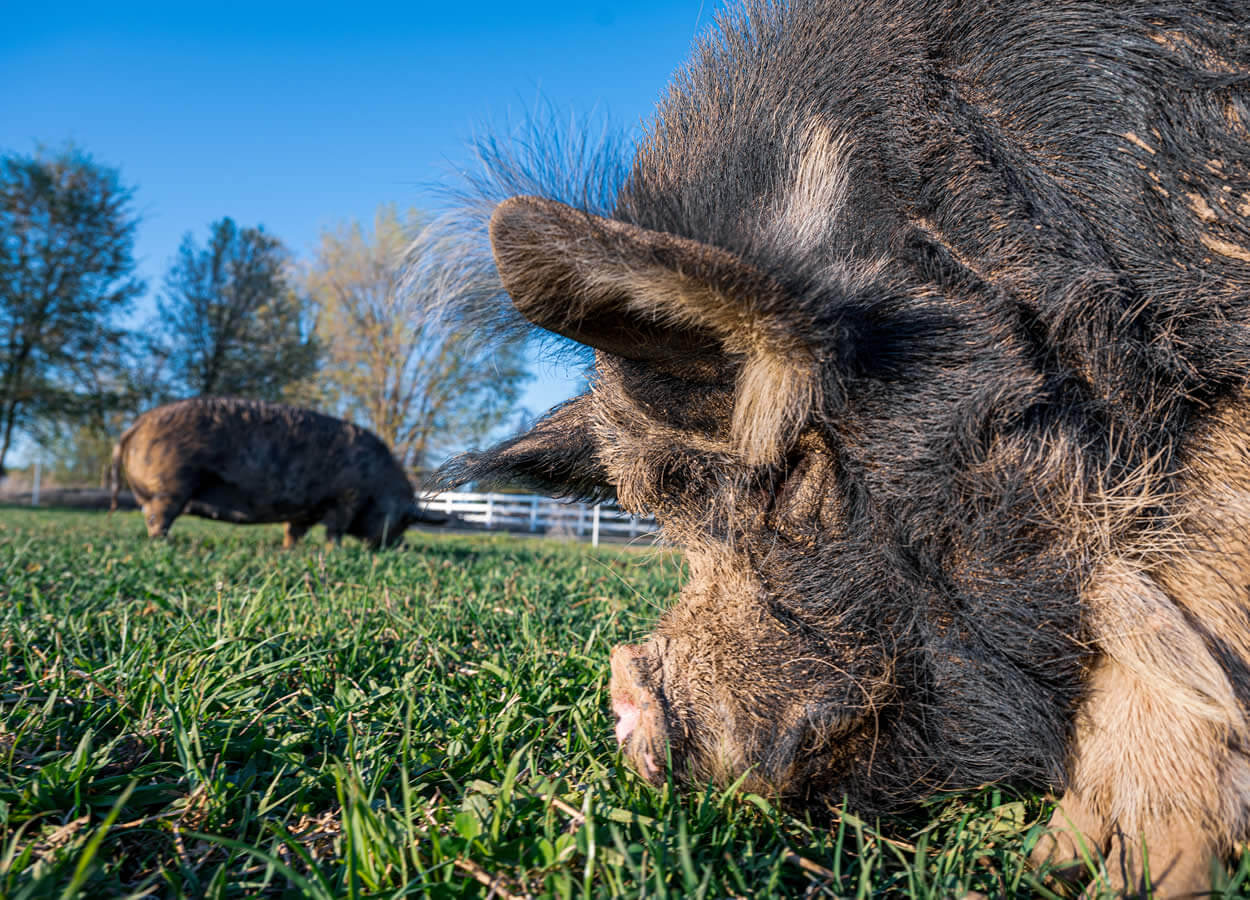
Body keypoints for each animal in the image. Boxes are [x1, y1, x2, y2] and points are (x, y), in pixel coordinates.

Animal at [112, 400, 442, 547]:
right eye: (404, 521)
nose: (399, 546)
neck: (378, 482)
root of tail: (136, 425)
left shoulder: (307, 509)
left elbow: (294, 530)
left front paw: (289, 550)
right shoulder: (347, 497)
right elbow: (334, 530)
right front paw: (333, 551)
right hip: (171, 484)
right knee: (157, 516)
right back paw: (163, 543)